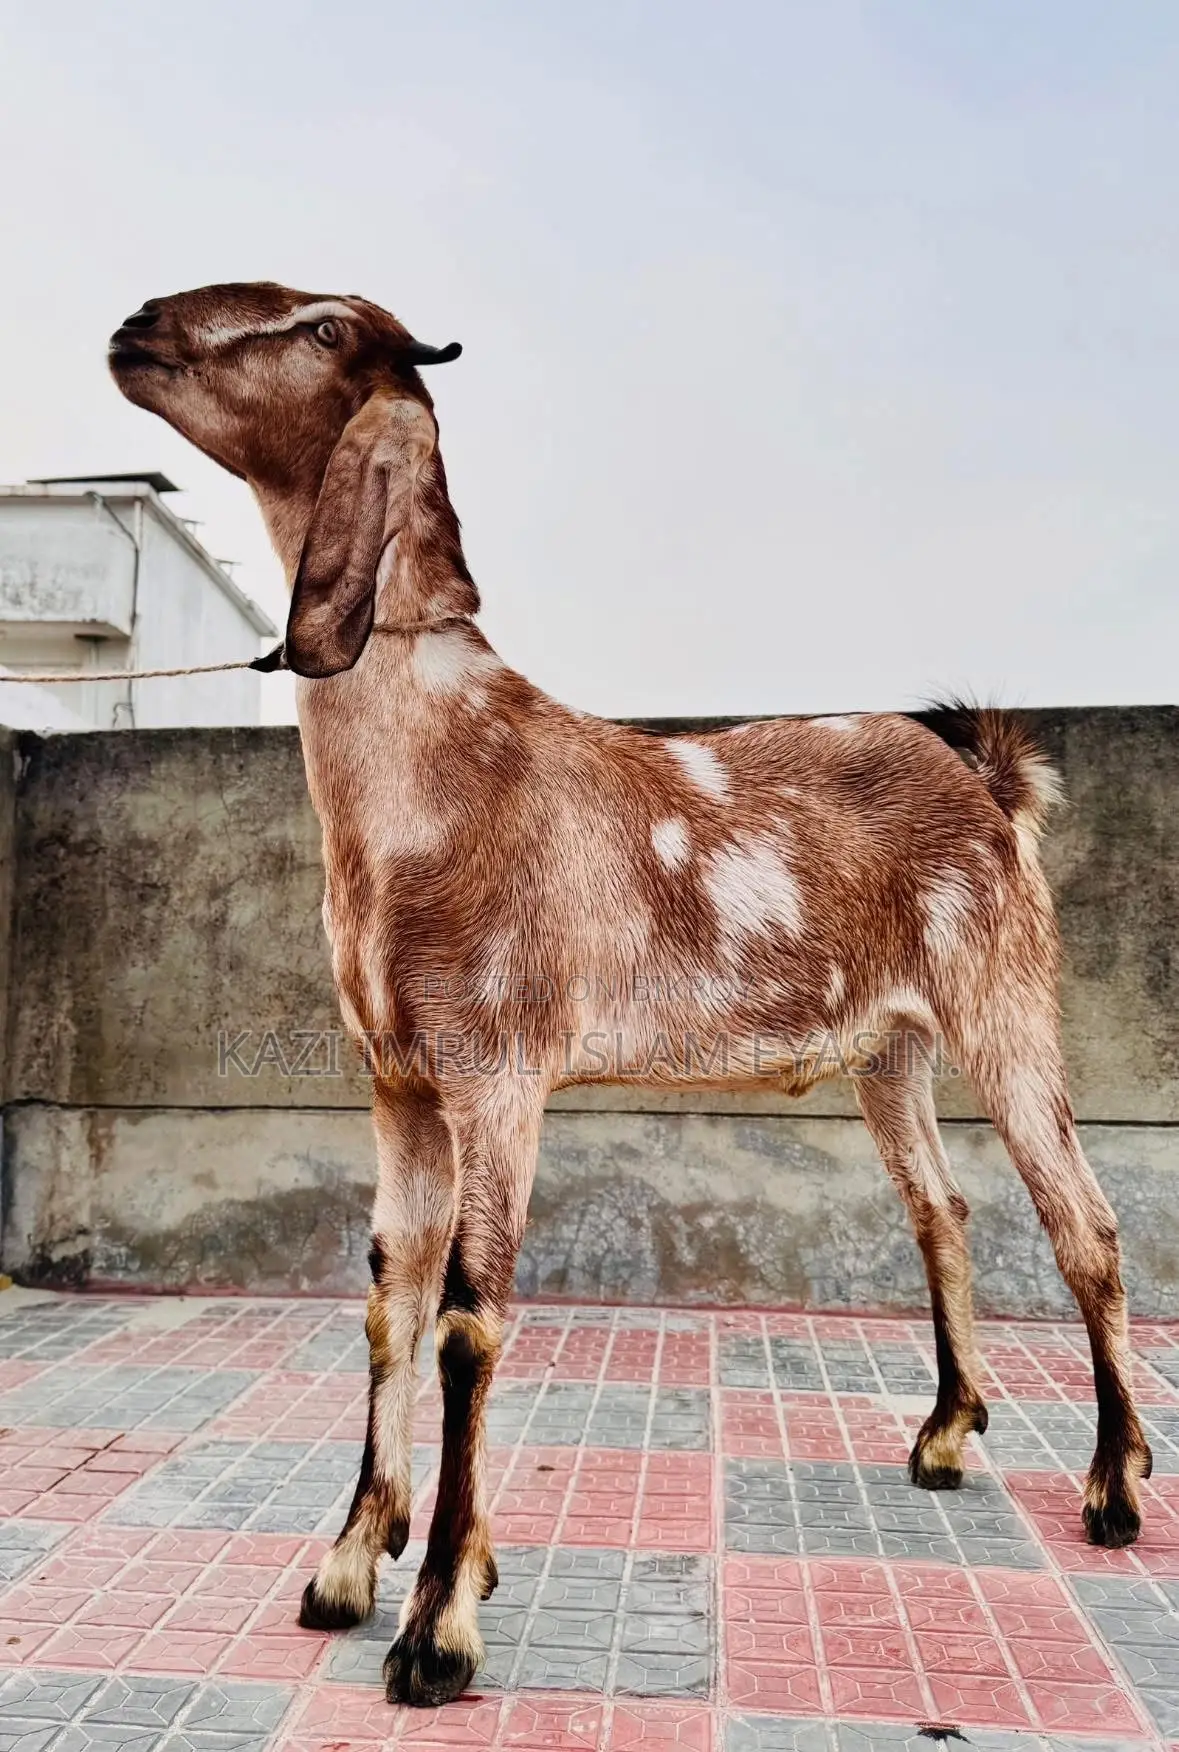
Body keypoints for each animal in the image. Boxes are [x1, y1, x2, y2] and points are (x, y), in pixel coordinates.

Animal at [110, 282, 1151, 1708]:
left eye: (320, 327)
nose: (137, 326)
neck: (440, 774)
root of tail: (990, 780)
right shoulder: (397, 1083)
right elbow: (388, 1292)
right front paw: (353, 1563)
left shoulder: (498, 1070)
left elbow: (469, 1316)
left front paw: (438, 1624)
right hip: (891, 1050)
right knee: (940, 1209)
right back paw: (945, 1436)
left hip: (1005, 998)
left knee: (1084, 1225)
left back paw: (1115, 1488)